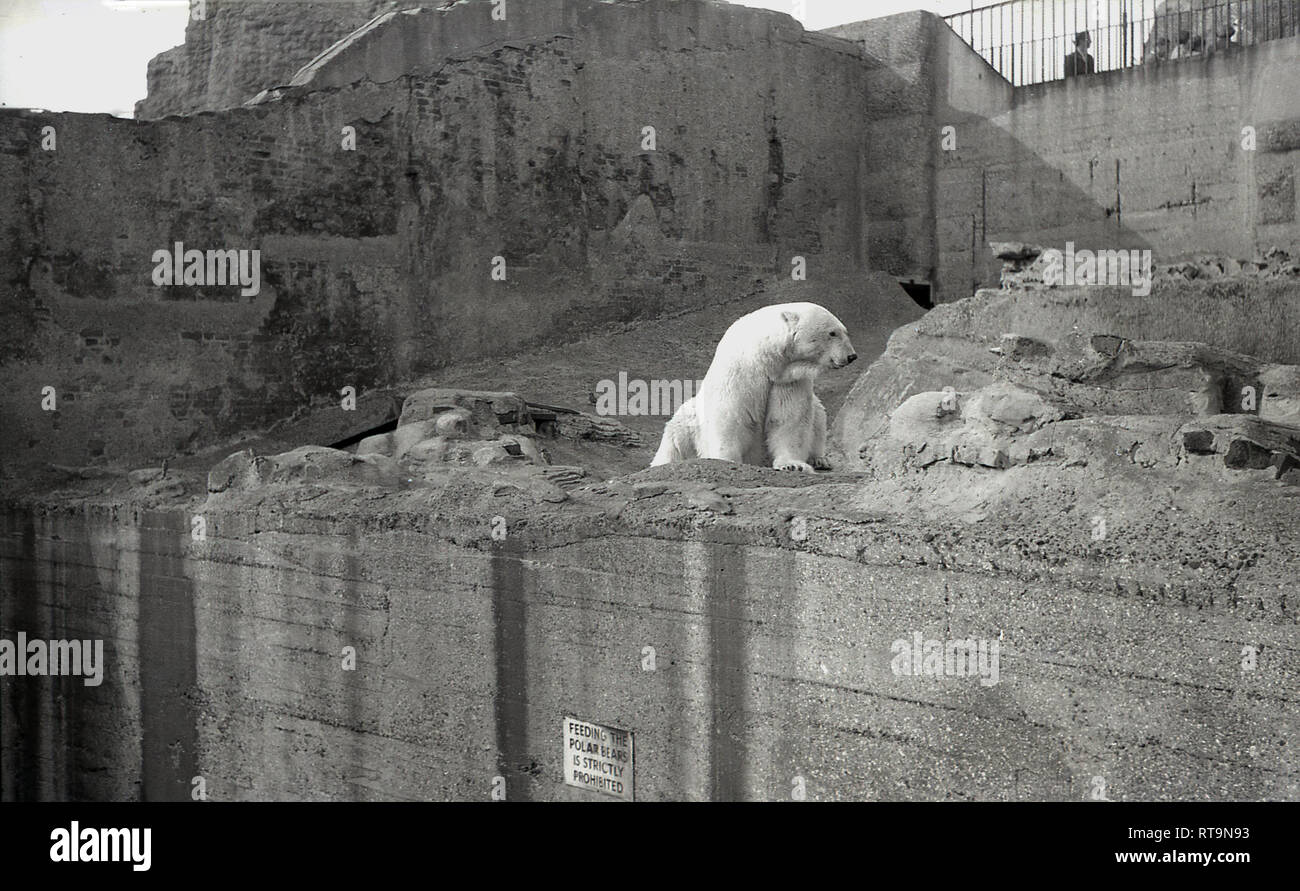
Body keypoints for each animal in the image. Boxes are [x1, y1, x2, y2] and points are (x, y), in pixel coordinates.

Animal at [651, 302, 857, 472]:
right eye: (832, 333)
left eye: (845, 331)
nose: (851, 356)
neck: (764, 360)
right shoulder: (739, 374)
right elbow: (731, 419)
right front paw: (726, 460)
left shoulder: (786, 381)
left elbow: (788, 420)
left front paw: (793, 465)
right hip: (688, 419)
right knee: (674, 441)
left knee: (819, 417)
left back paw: (819, 460)